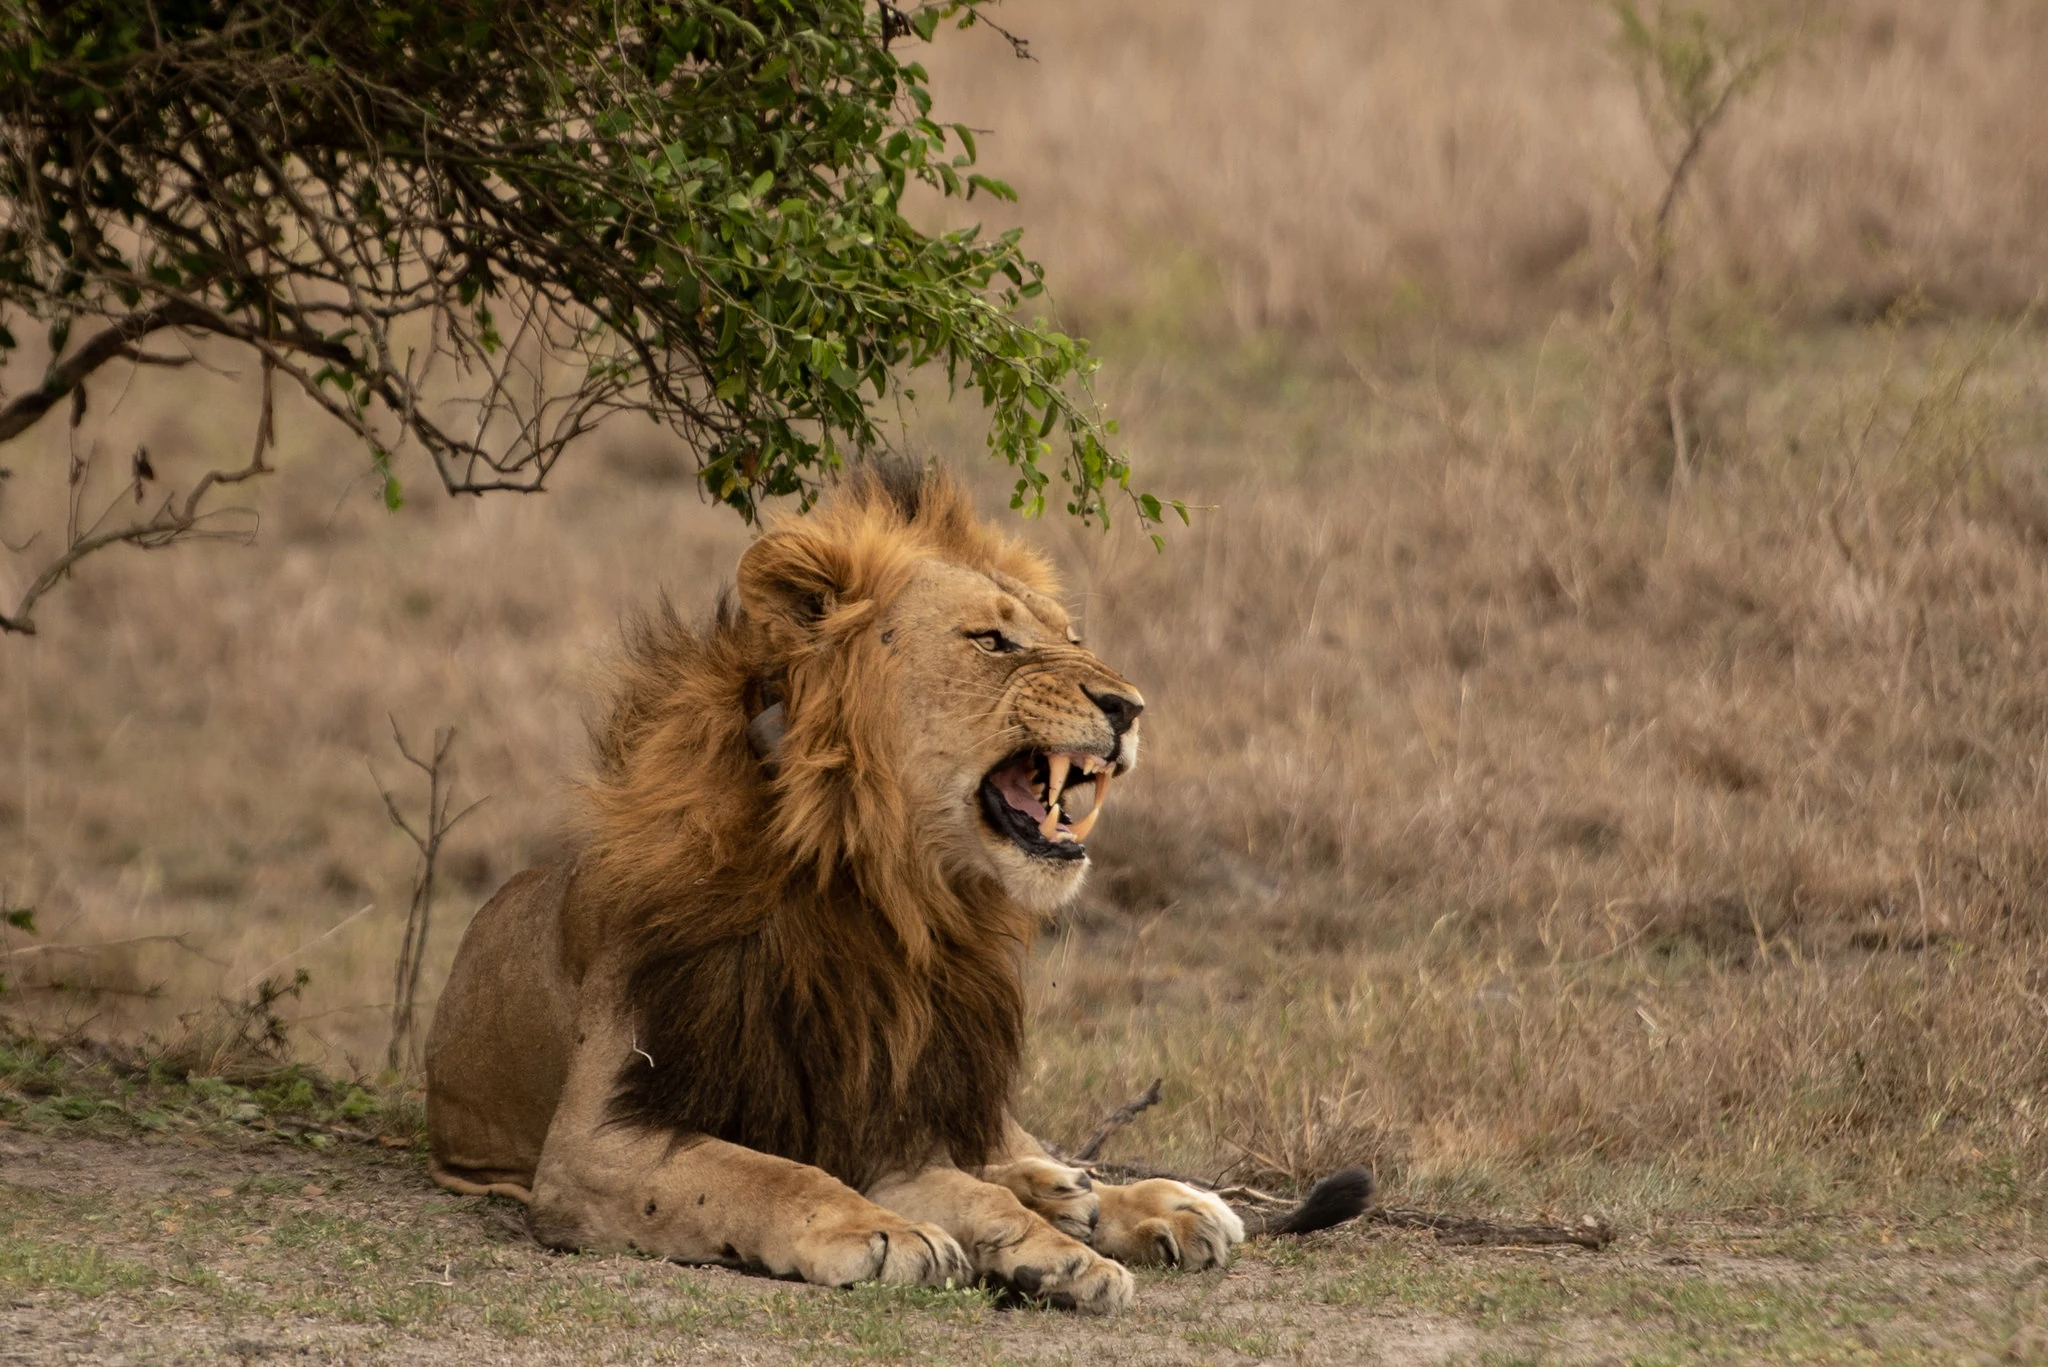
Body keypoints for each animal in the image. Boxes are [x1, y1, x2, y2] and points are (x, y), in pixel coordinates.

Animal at [423, 466, 1243, 1312]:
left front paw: (1054, 1244)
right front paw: (889, 1233)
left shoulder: (874, 1104)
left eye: (1072, 639)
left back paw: (1143, 1203)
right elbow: (769, 1174)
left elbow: (953, 1180)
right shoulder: (593, 1141)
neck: (880, 881)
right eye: (992, 640)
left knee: (1013, 1143)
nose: (1128, 706)